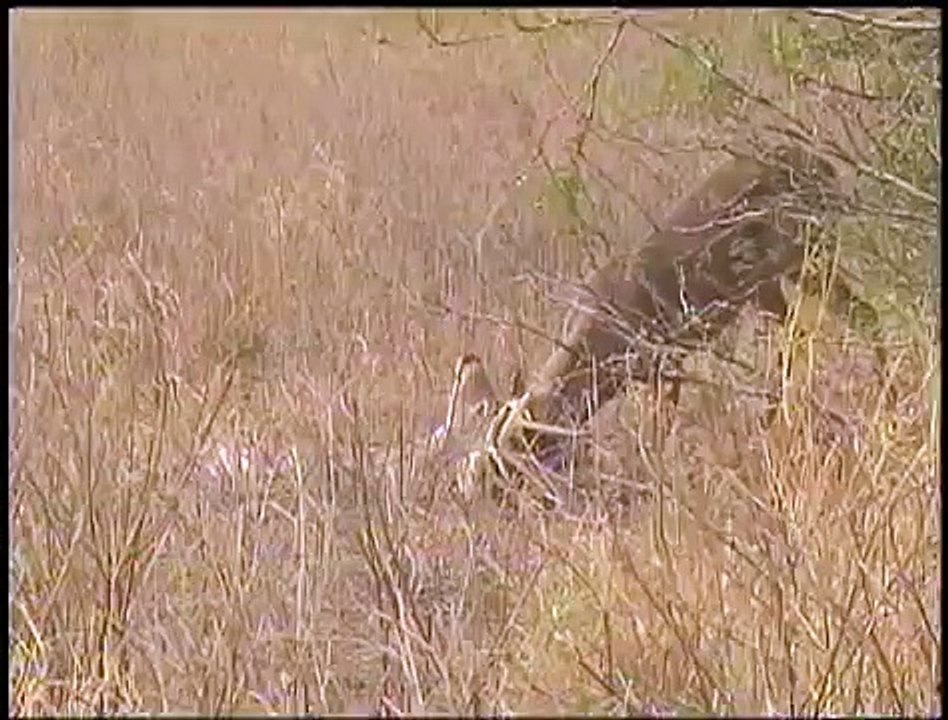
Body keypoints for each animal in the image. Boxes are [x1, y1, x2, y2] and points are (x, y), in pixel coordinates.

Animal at [449, 143, 890, 504]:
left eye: (503, 461)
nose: (473, 497)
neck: (597, 342)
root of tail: (821, 166)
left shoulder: (664, 363)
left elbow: (659, 433)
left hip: (790, 263)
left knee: (811, 330)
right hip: (782, 278)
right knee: (852, 318)